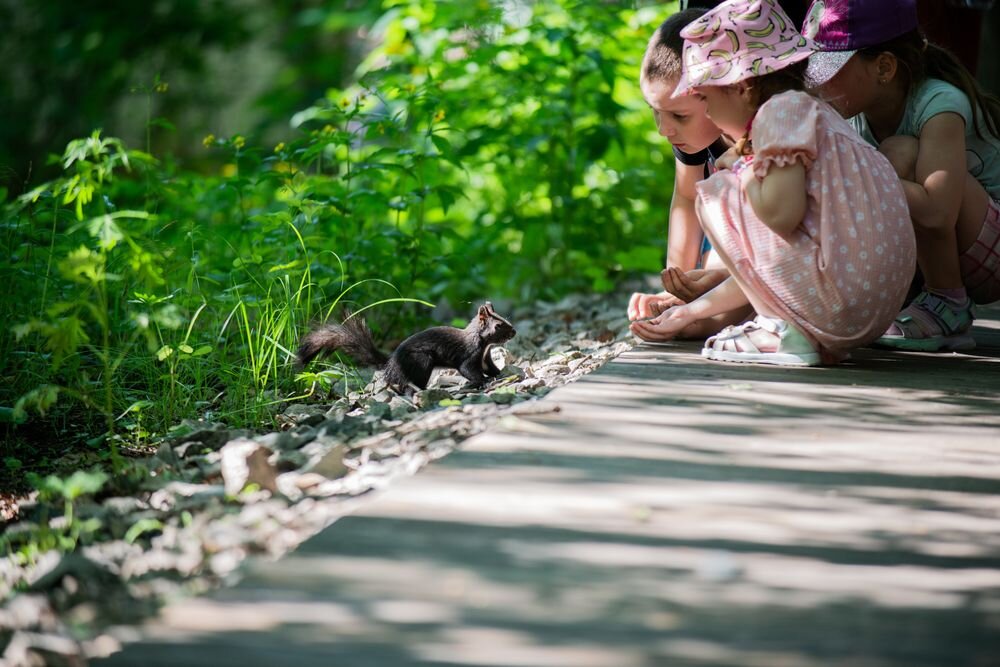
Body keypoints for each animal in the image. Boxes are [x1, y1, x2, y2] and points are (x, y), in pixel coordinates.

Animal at [294, 302, 516, 392]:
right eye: (498, 326)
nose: (514, 332)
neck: (483, 343)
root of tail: (391, 362)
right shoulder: (470, 355)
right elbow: (468, 370)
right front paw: (482, 381)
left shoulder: (484, 357)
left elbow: (490, 368)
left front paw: (500, 374)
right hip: (422, 361)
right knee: (408, 382)